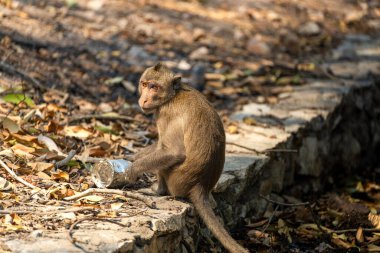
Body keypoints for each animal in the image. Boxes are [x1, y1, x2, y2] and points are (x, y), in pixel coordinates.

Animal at [126, 63, 248, 253]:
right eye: (144, 84)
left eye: (154, 87)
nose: (144, 99)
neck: (173, 95)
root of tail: (201, 186)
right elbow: (160, 146)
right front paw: (129, 156)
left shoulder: (167, 113)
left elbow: (173, 152)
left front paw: (132, 170)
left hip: (176, 180)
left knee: (167, 165)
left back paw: (158, 191)